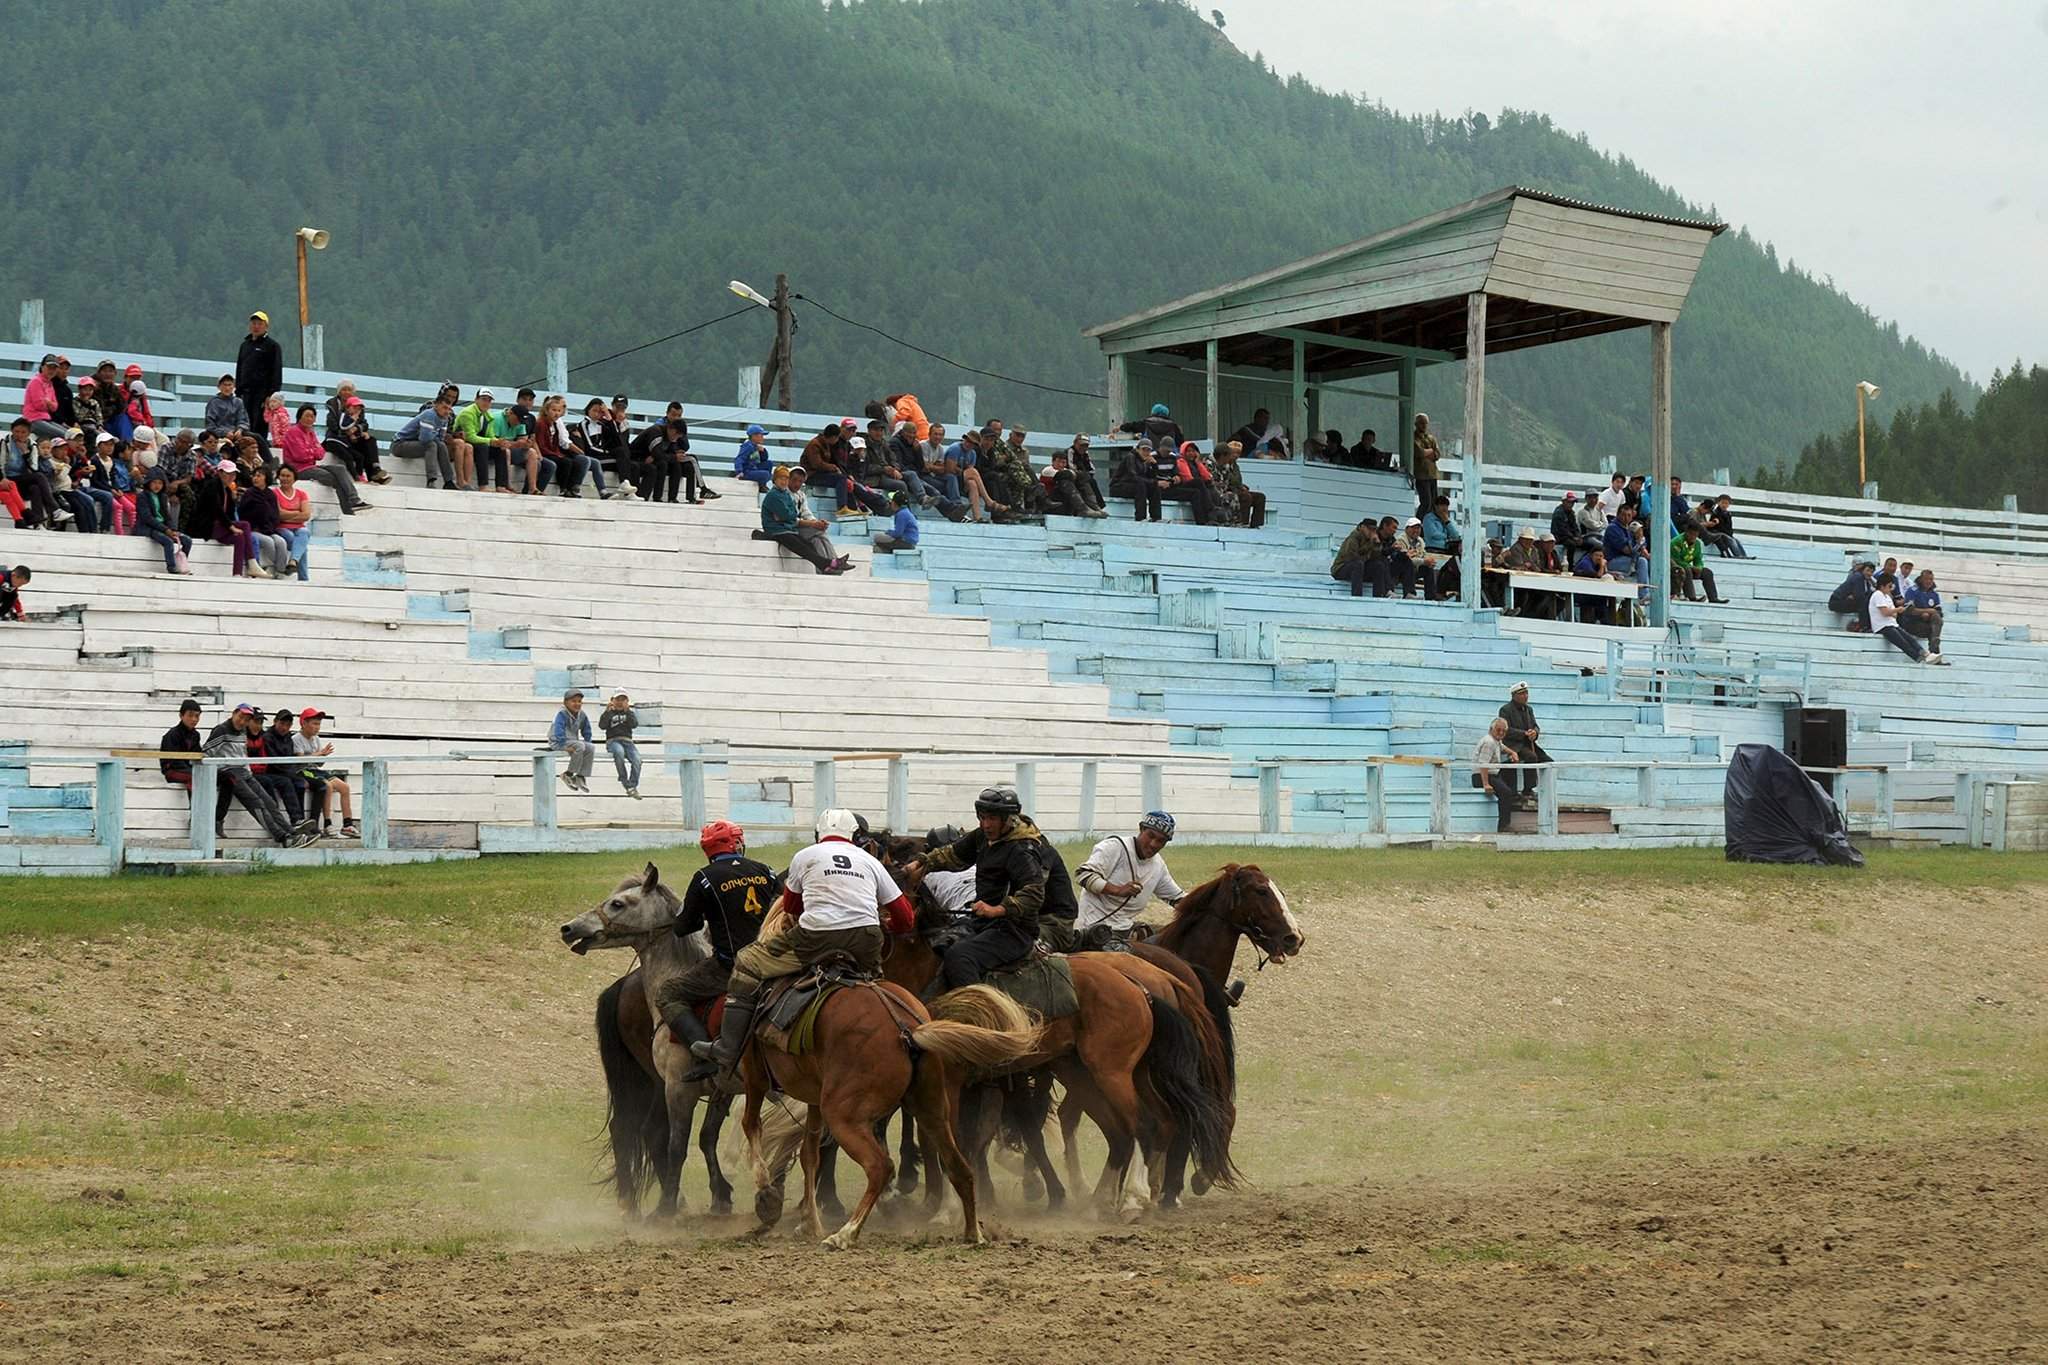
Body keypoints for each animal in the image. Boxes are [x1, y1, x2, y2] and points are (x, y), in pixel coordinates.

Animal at [565, 863, 741, 1219]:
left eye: (618, 903)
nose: (569, 928)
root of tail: (620, 986)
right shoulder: (689, 1088)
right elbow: (688, 1142)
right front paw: (677, 1203)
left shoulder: (695, 1089)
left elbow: (698, 1139)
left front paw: (707, 1196)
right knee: (638, 1130)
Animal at [733, 916, 1048, 1252]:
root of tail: (907, 1029)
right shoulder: (813, 1097)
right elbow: (809, 1154)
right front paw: (808, 1222)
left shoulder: (755, 1076)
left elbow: (752, 1125)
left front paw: (767, 1194)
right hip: (932, 1110)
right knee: (959, 1167)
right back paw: (972, 1232)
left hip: (844, 1114)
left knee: (880, 1167)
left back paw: (846, 1233)